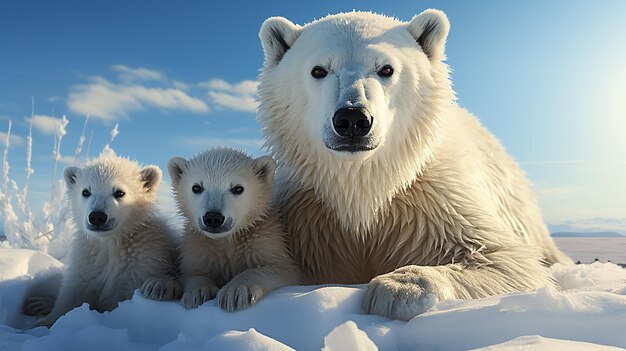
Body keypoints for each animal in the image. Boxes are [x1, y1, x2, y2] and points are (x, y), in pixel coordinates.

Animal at [27, 155, 183, 328]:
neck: (110, 243)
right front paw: (42, 322)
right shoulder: (88, 261)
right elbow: (74, 294)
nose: (97, 216)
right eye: (86, 191)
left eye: (119, 192)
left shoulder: (141, 264)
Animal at [168, 148, 300, 314]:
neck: (226, 239)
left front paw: (236, 292)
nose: (213, 218)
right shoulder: (199, 247)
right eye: (196, 187)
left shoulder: (264, 240)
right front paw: (198, 293)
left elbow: (280, 269)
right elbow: (193, 272)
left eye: (238, 188)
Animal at [255, 10, 572, 322]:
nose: (353, 119)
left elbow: (505, 259)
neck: (363, 189)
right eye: (318, 70)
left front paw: (397, 287)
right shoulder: (307, 217)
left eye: (386, 69)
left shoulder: (437, 202)